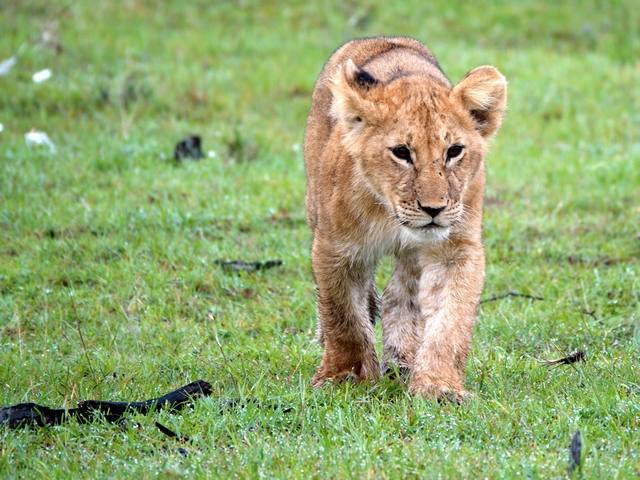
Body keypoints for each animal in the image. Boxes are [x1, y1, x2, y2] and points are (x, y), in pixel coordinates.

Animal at [303, 36, 507, 402]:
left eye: (454, 151)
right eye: (401, 152)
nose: (433, 208)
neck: (389, 213)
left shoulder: (456, 249)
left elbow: (449, 321)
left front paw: (439, 386)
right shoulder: (336, 248)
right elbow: (343, 315)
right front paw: (345, 377)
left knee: (401, 294)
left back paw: (402, 360)